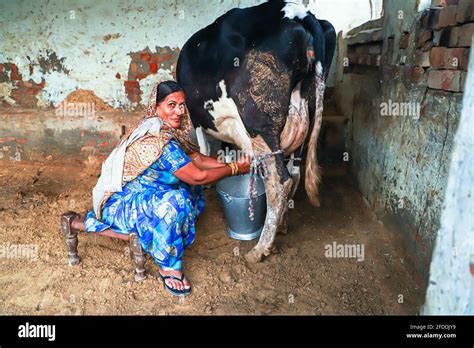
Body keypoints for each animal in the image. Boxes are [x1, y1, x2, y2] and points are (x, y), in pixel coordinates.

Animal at [177, 0, 336, 260]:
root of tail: (299, 13)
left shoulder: (198, 118)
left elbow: (204, 147)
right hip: (304, 117)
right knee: (295, 174)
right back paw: (281, 226)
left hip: (260, 123)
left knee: (279, 182)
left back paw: (260, 248)